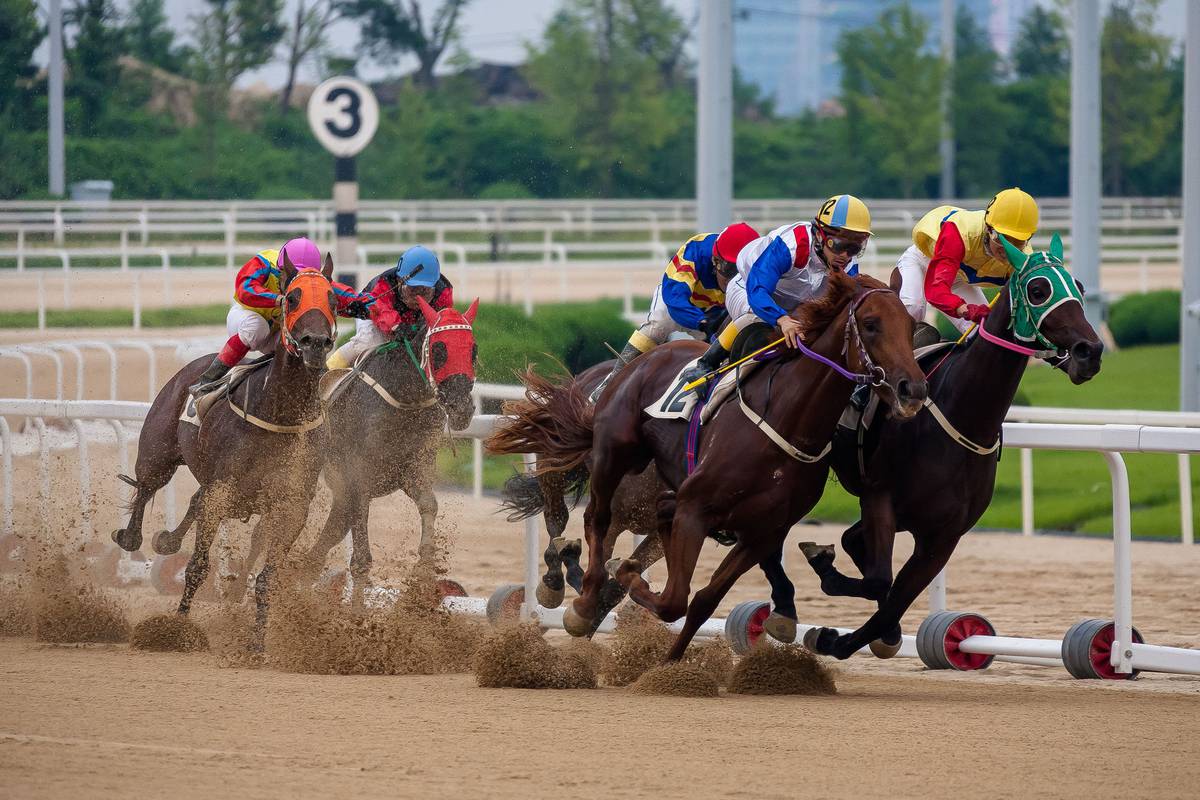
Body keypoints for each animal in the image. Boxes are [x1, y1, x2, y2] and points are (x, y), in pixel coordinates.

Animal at [112, 250, 338, 633]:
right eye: (292, 298)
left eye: (334, 299)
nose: (316, 344)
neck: (280, 414)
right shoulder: (222, 492)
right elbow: (198, 567)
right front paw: (179, 628)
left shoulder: (290, 504)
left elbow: (267, 579)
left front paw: (258, 639)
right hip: (159, 450)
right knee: (146, 487)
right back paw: (132, 537)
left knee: (193, 498)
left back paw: (168, 539)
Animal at [302, 296, 480, 582]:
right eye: (438, 350)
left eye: (473, 350)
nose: (461, 408)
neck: (404, 400)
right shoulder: (357, 474)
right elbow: (361, 556)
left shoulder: (412, 467)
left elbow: (429, 504)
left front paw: (425, 564)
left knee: (326, 539)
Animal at [487, 272, 926, 662]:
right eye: (870, 325)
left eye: (910, 326)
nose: (913, 389)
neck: (787, 419)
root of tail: (640, 359)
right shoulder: (695, 510)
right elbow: (671, 599)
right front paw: (618, 579)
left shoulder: (762, 532)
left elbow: (700, 599)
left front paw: (670, 662)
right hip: (613, 454)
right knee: (594, 518)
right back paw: (580, 600)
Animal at [801, 235, 1099, 662]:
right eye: (1038, 290)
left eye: (1079, 286)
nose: (1091, 351)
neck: (962, 416)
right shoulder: (879, 499)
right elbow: (879, 580)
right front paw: (827, 610)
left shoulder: (943, 536)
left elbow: (893, 599)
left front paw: (848, 637)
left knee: (854, 545)